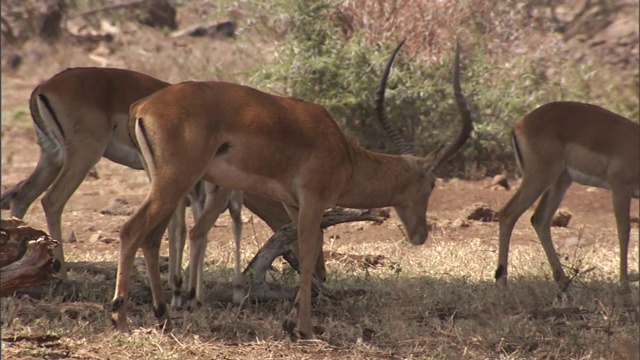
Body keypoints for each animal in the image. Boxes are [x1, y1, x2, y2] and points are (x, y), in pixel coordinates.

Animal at [110, 40, 472, 338]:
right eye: (431, 183)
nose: (420, 234)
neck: (345, 152)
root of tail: (142, 106)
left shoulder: (293, 205)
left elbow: (305, 249)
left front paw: (292, 322)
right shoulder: (313, 200)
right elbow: (310, 255)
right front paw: (305, 328)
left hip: (170, 186)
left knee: (152, 239)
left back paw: (163, 318)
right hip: (176, 182)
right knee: (131, 230)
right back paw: (122, 319)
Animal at [496, 100, 640, 292]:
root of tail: (520, 124)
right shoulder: (620, 188)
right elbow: (624, 231)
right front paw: (624, 284)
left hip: (560, 181)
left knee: (539, 219)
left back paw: (563, 282)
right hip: (540, 178)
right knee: (508, 214)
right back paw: (502, 283)